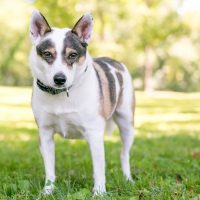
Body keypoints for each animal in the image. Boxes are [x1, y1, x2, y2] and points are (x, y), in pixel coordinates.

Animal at [28, 10, 135, 195]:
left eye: (72, 55)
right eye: (48, 54)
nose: (60, 79)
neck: (62, 94)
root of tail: (116, 62)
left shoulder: (94, 133)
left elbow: (99, 169)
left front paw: (99, 192)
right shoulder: (45, 133)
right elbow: (50, 169)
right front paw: (48, 190)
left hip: (126, 124)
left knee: (124, 154)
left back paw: (127, 178)